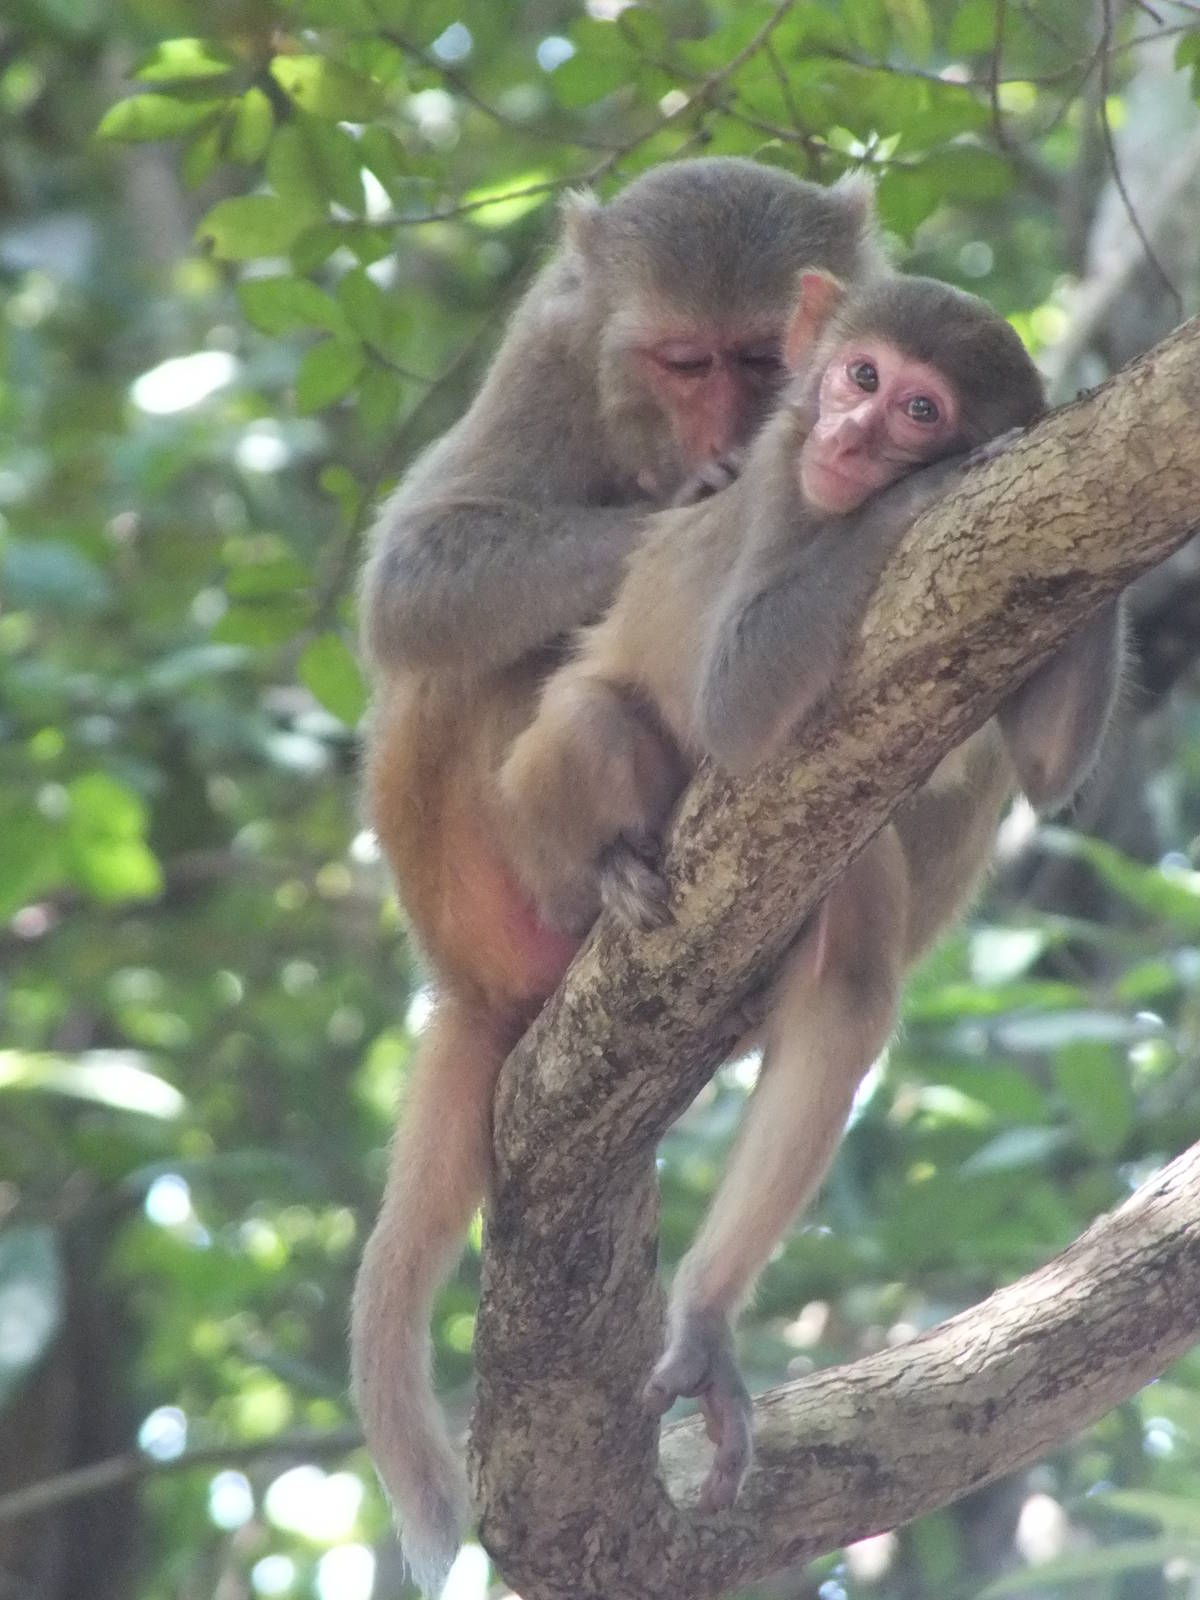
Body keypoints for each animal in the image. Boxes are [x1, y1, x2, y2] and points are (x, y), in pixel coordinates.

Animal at [349, 157, 889, 1594]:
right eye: (684, 361)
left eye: (763, 355)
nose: (746, 420)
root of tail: (464, 978)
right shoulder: (547, 353)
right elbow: (411, 579)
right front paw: (697, 500)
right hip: (464, 868)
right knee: (464, 662)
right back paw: (588, 877)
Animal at [498, 267, 1124, 1512]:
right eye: (861, 376)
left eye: (919, 407)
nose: (848, 434)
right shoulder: (776, 505)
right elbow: (737, 701)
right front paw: (909, 499)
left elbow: (1043, 769)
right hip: (537, 813)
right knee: (595, 711)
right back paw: (602, 878)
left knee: (850, 970)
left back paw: (704, 1317)